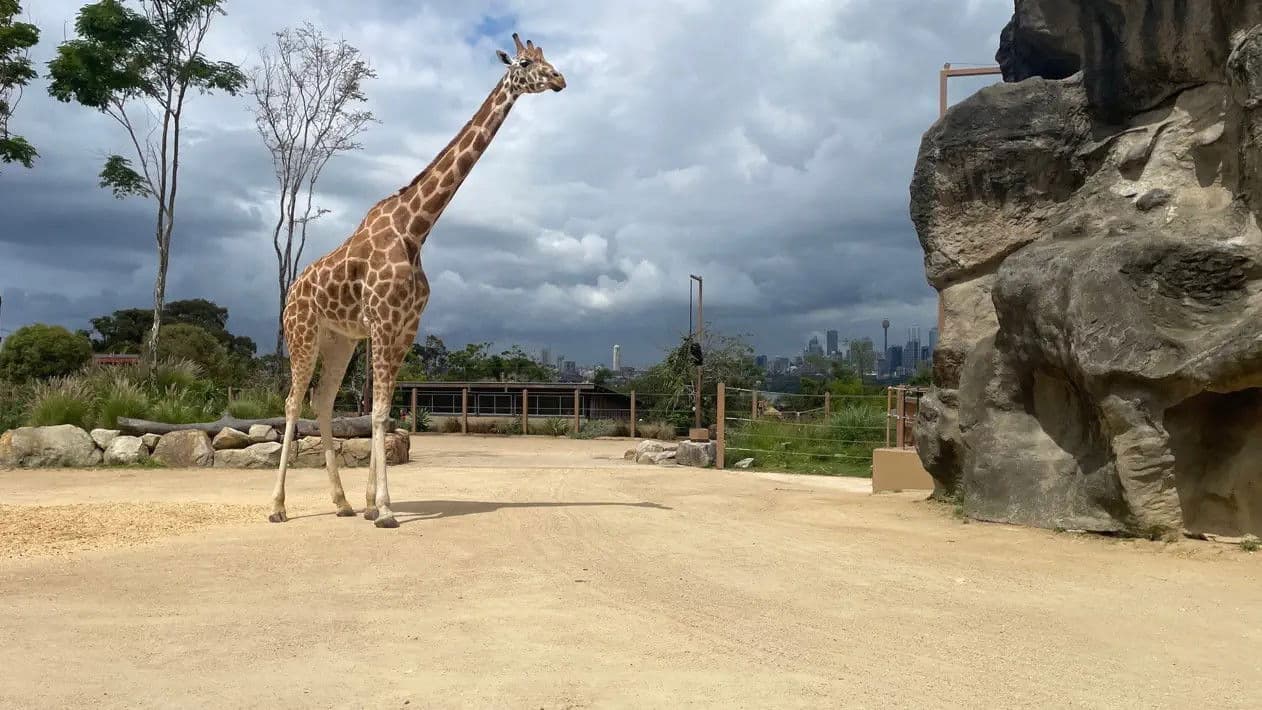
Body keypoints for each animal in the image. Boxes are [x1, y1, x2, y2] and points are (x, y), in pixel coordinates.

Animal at [268, 32, 566, 528]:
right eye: (525, 63)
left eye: (547, 59)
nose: (560, 79)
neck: (415, 229)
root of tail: (292, 290)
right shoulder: (384, 321)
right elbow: (380, 414)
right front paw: (387, 510)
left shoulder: (406, 326)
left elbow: (383, 411)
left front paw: (371, 504)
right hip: (302, 332)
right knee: (293, 403)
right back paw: (277, 507)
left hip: (338, 339)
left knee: (322, 402)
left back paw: (341, 502)